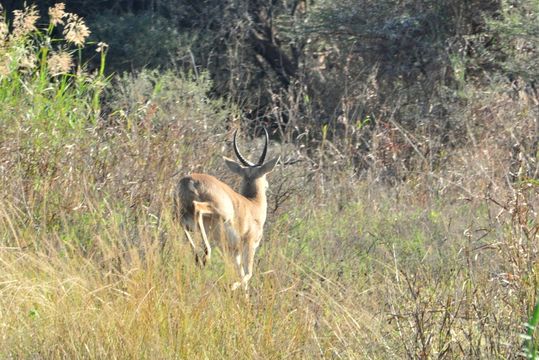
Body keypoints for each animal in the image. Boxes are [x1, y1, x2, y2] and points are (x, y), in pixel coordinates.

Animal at [176, 128, 280, 292]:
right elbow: (248, 274)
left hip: (185, 217)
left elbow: (242, 274)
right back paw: (206, 256)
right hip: (219, 213)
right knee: (198, 209)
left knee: (181, 222)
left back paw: (198, 258)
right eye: (264, 175)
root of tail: (189, 180)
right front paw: (231, 287)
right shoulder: (249, 244)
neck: (253, 204)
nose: (267, 185)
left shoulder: (233, 252)